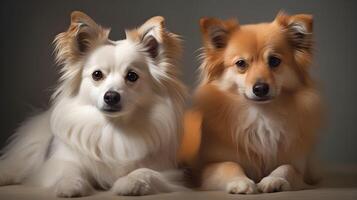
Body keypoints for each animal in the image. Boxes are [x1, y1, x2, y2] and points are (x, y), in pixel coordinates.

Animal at [0, 10, 188, 197]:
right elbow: (70, 169)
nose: (111, 96)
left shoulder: (168, 171)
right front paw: (70, 185)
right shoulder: (57, 163)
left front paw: (131, 182)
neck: (113, 128)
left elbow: (146, 171)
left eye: (132, 76)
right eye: (97, 75)